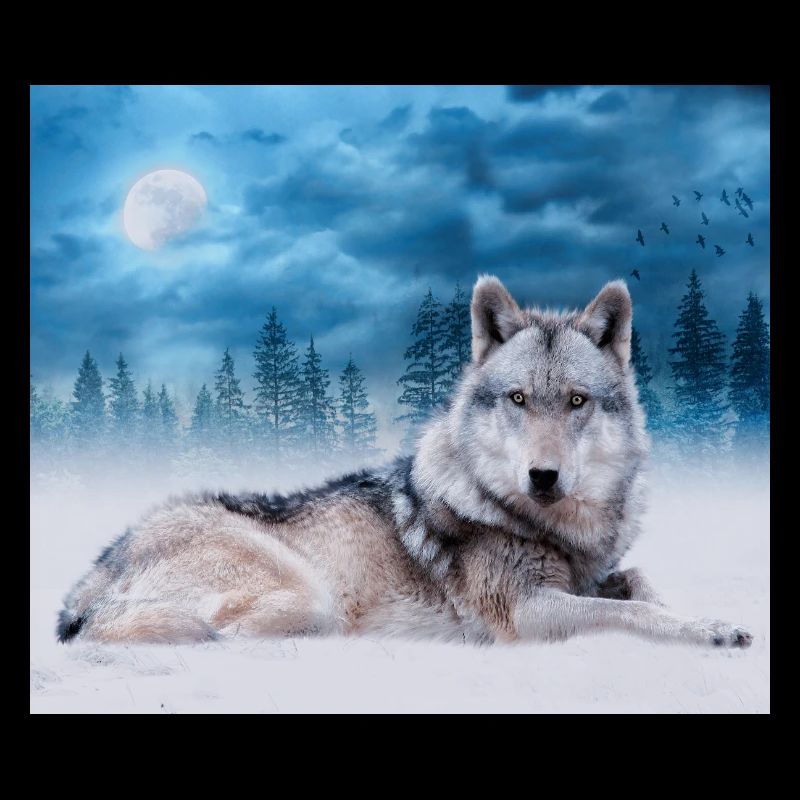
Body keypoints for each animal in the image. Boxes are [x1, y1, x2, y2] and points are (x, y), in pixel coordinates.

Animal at [57, 277, 752, 649]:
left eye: (577, 401)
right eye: (518, 399)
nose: (543, 476)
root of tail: (95, 574)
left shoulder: (593, 575)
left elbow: (641, 585)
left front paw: (711, 619)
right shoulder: (523, 613)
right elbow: (631, 611)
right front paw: (709, 631)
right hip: (306, 597)